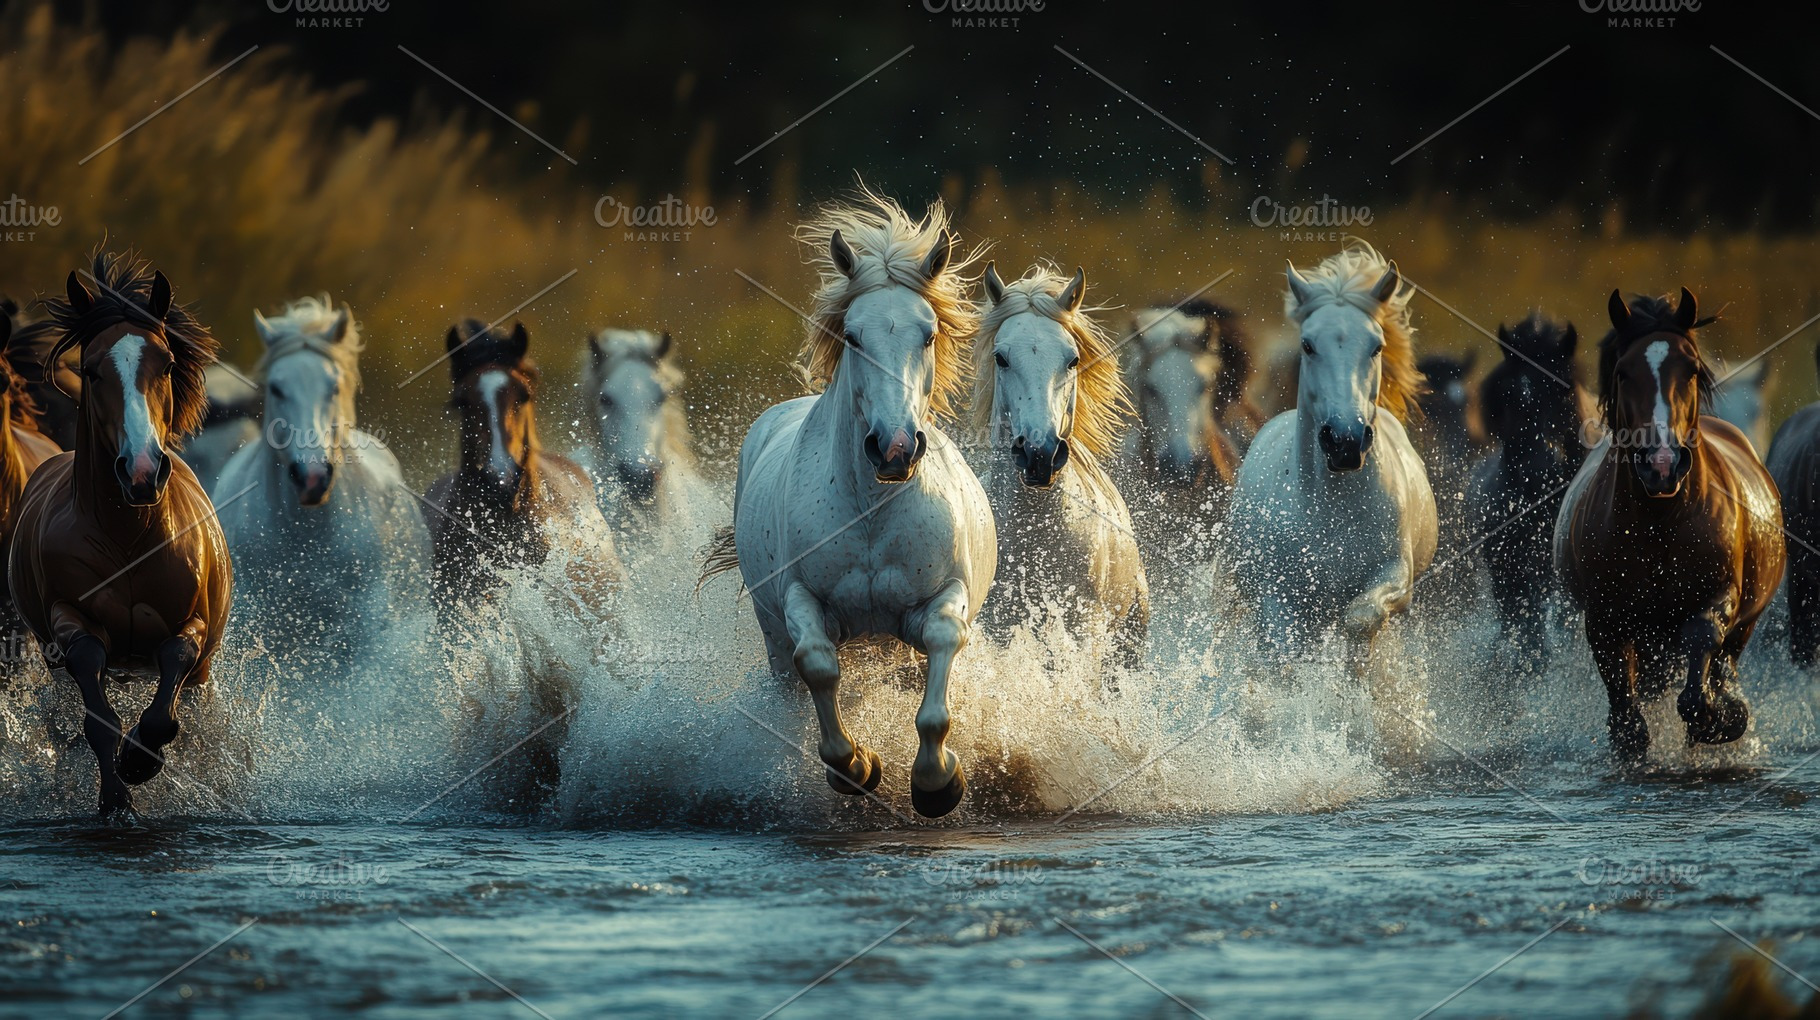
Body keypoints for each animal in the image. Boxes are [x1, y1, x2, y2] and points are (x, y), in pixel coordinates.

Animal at [7, 249, 230, 817]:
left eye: (167, 364)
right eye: (90, 369)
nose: (142, 470)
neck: (130, 539)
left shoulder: (192, 624)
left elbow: (170, 682)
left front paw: (140, 760)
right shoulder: (69, 620)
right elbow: (97, 710)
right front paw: (116, 797)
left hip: (204, 676)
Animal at [700, 191, 994, 818]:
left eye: (928, 333)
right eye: (855, 337)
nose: (895, 446)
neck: (872, 515)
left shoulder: (943, 598)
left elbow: (940, 662)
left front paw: (937, 783)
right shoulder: (802, 601)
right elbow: (816, 663)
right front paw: (857, 766)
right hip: (772, 634)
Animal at [965, 261, 1147, 669]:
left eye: (1073, 359)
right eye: (1001, 358)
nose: (1039, 454)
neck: (1035, 538)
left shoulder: (1083, 628)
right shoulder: (998, 626)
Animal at [1228, 241, 1437, 661]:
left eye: (1376, 346)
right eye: (1307, 345)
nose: (1345, 440)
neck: (1332, 512)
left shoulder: (1395, 577)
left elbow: (1360, 619)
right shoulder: (1279, 598)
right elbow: (1285, 651)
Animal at [1554, 289, 1785, 761]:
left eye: (1691, 369)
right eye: (1623, 373)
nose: (1661, 464)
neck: (1661, 523)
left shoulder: (1717, 598)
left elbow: (1702, 661)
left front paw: (1722, 717)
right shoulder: (1606, 621)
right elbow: (1628, 724)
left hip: (1744, 626)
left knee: (1723, 661)